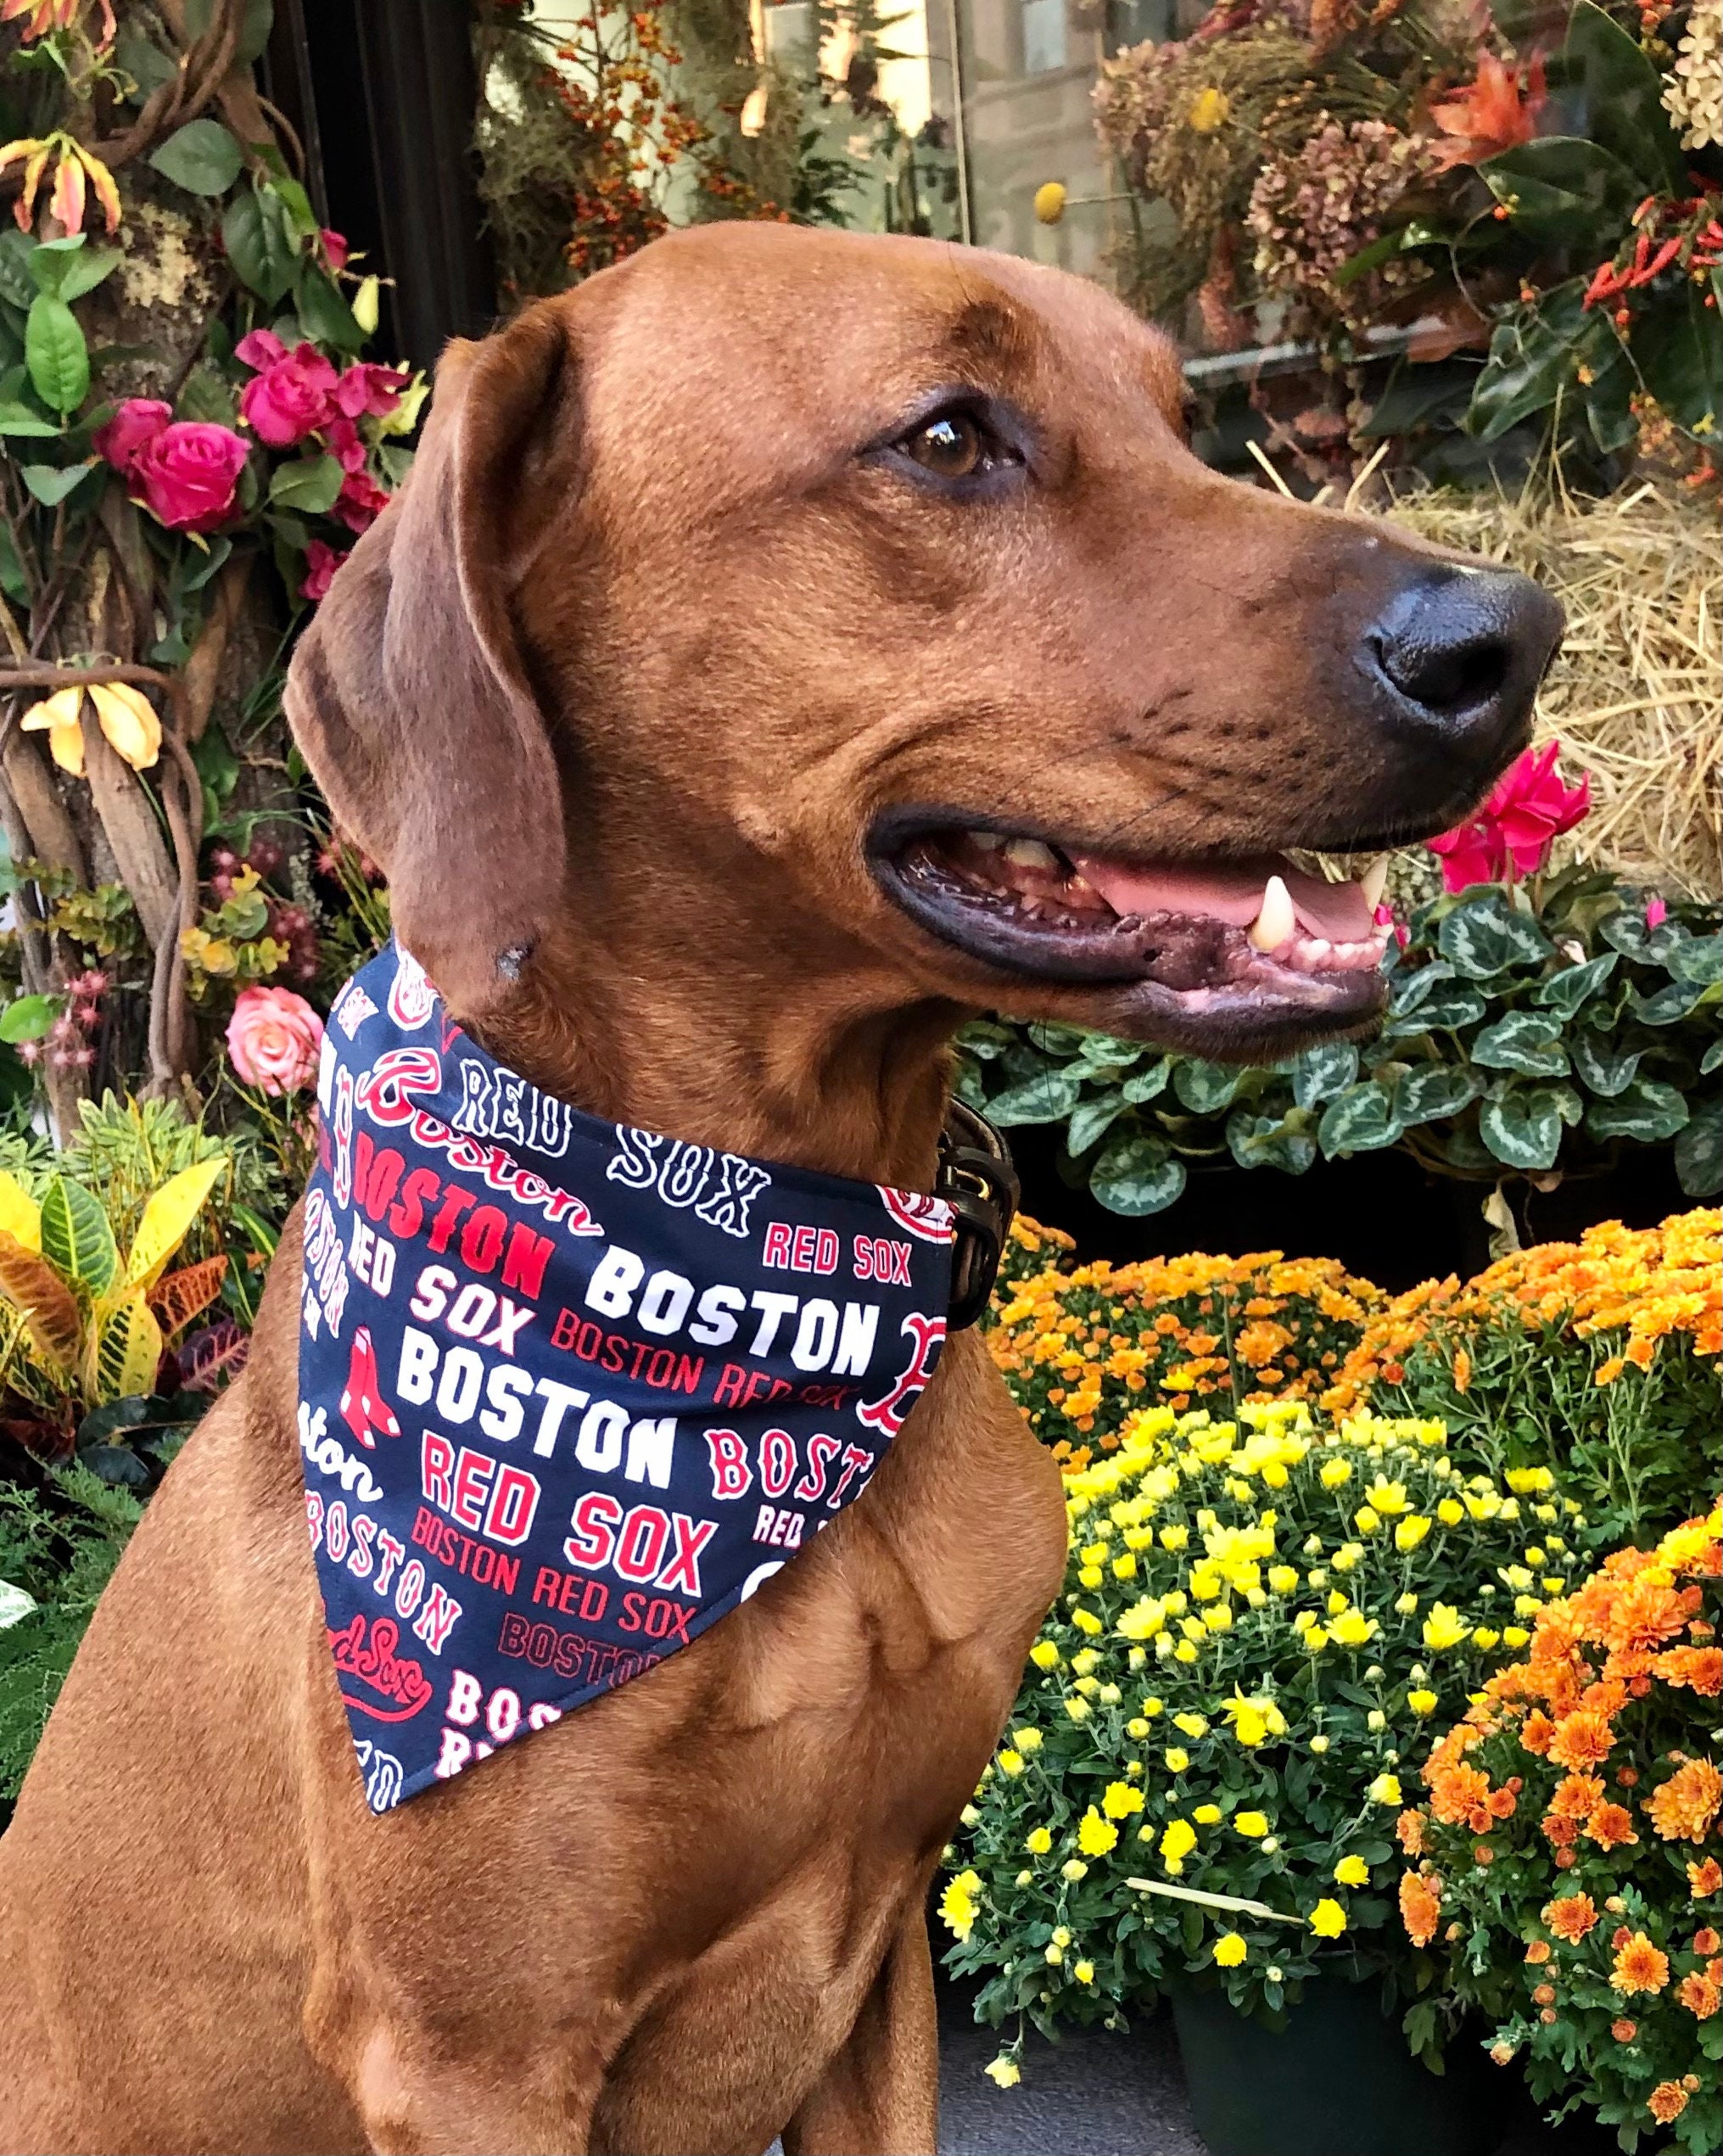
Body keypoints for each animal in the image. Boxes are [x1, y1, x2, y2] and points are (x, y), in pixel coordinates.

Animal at [0, 227, 1561, 2147]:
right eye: (949, 437)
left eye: (1182, 419)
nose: (1507, 636)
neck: (740, 1271)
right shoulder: (471, 2057)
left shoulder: (879, 1949)